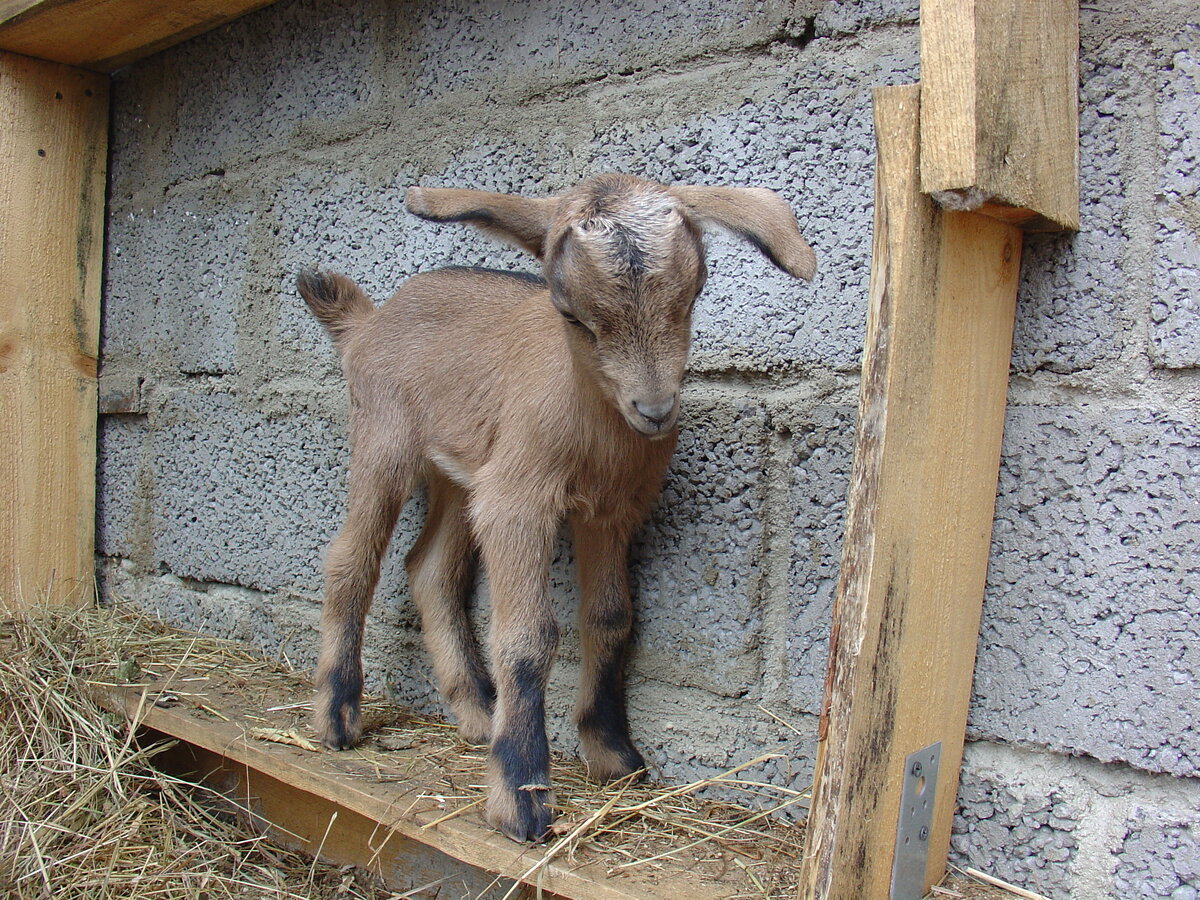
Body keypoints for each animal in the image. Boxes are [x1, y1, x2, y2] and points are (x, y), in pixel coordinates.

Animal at [300, 172, 816, 844]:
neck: (596, 433)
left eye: (694, 294)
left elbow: (610, 617)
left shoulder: (609, 510)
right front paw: (521, 799)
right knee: (350, 560)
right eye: (572, 315)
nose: (654, 411)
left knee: (429, 567)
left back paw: (476, 714)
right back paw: (338, 716)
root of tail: (366, 323)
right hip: (384, 437)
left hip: (463, 472)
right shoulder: (520, 500)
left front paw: (613, 754)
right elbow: (527, 637)